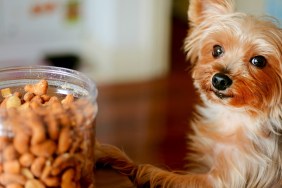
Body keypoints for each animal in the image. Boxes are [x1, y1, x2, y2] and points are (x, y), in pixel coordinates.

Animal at [94, 0, 282, 187]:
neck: (235, 116)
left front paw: (115, 156)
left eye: (259, 61)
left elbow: (153, 171)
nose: (220, 80)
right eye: (217, 50)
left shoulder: (227, 177)